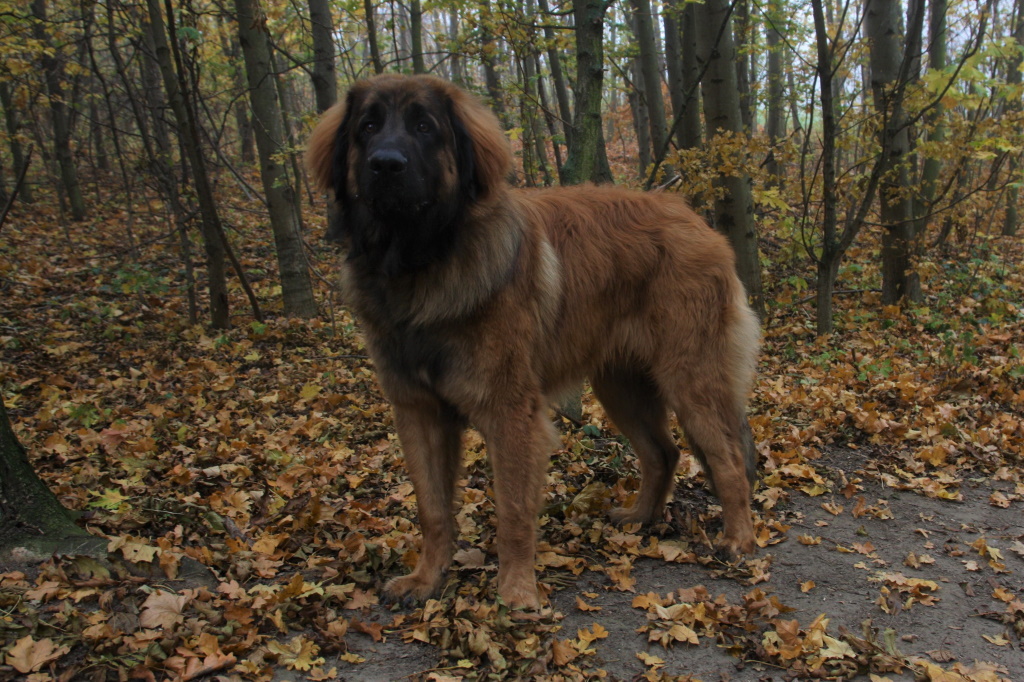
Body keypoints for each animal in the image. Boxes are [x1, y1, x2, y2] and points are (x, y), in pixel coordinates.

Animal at [303, 74, 761, 606]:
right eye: (368, 127)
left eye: (424, 126)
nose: (386, 164)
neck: (422, 269)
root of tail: (695, 220)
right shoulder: (418, 411)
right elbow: (432, 509)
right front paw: (427, 579)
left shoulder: (510, 412)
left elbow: (514, 511)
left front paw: (517, 593)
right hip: (620, 387)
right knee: (662, 453)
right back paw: (640, 518)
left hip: (690, 378)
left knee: (728, 459)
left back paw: (738, 540)